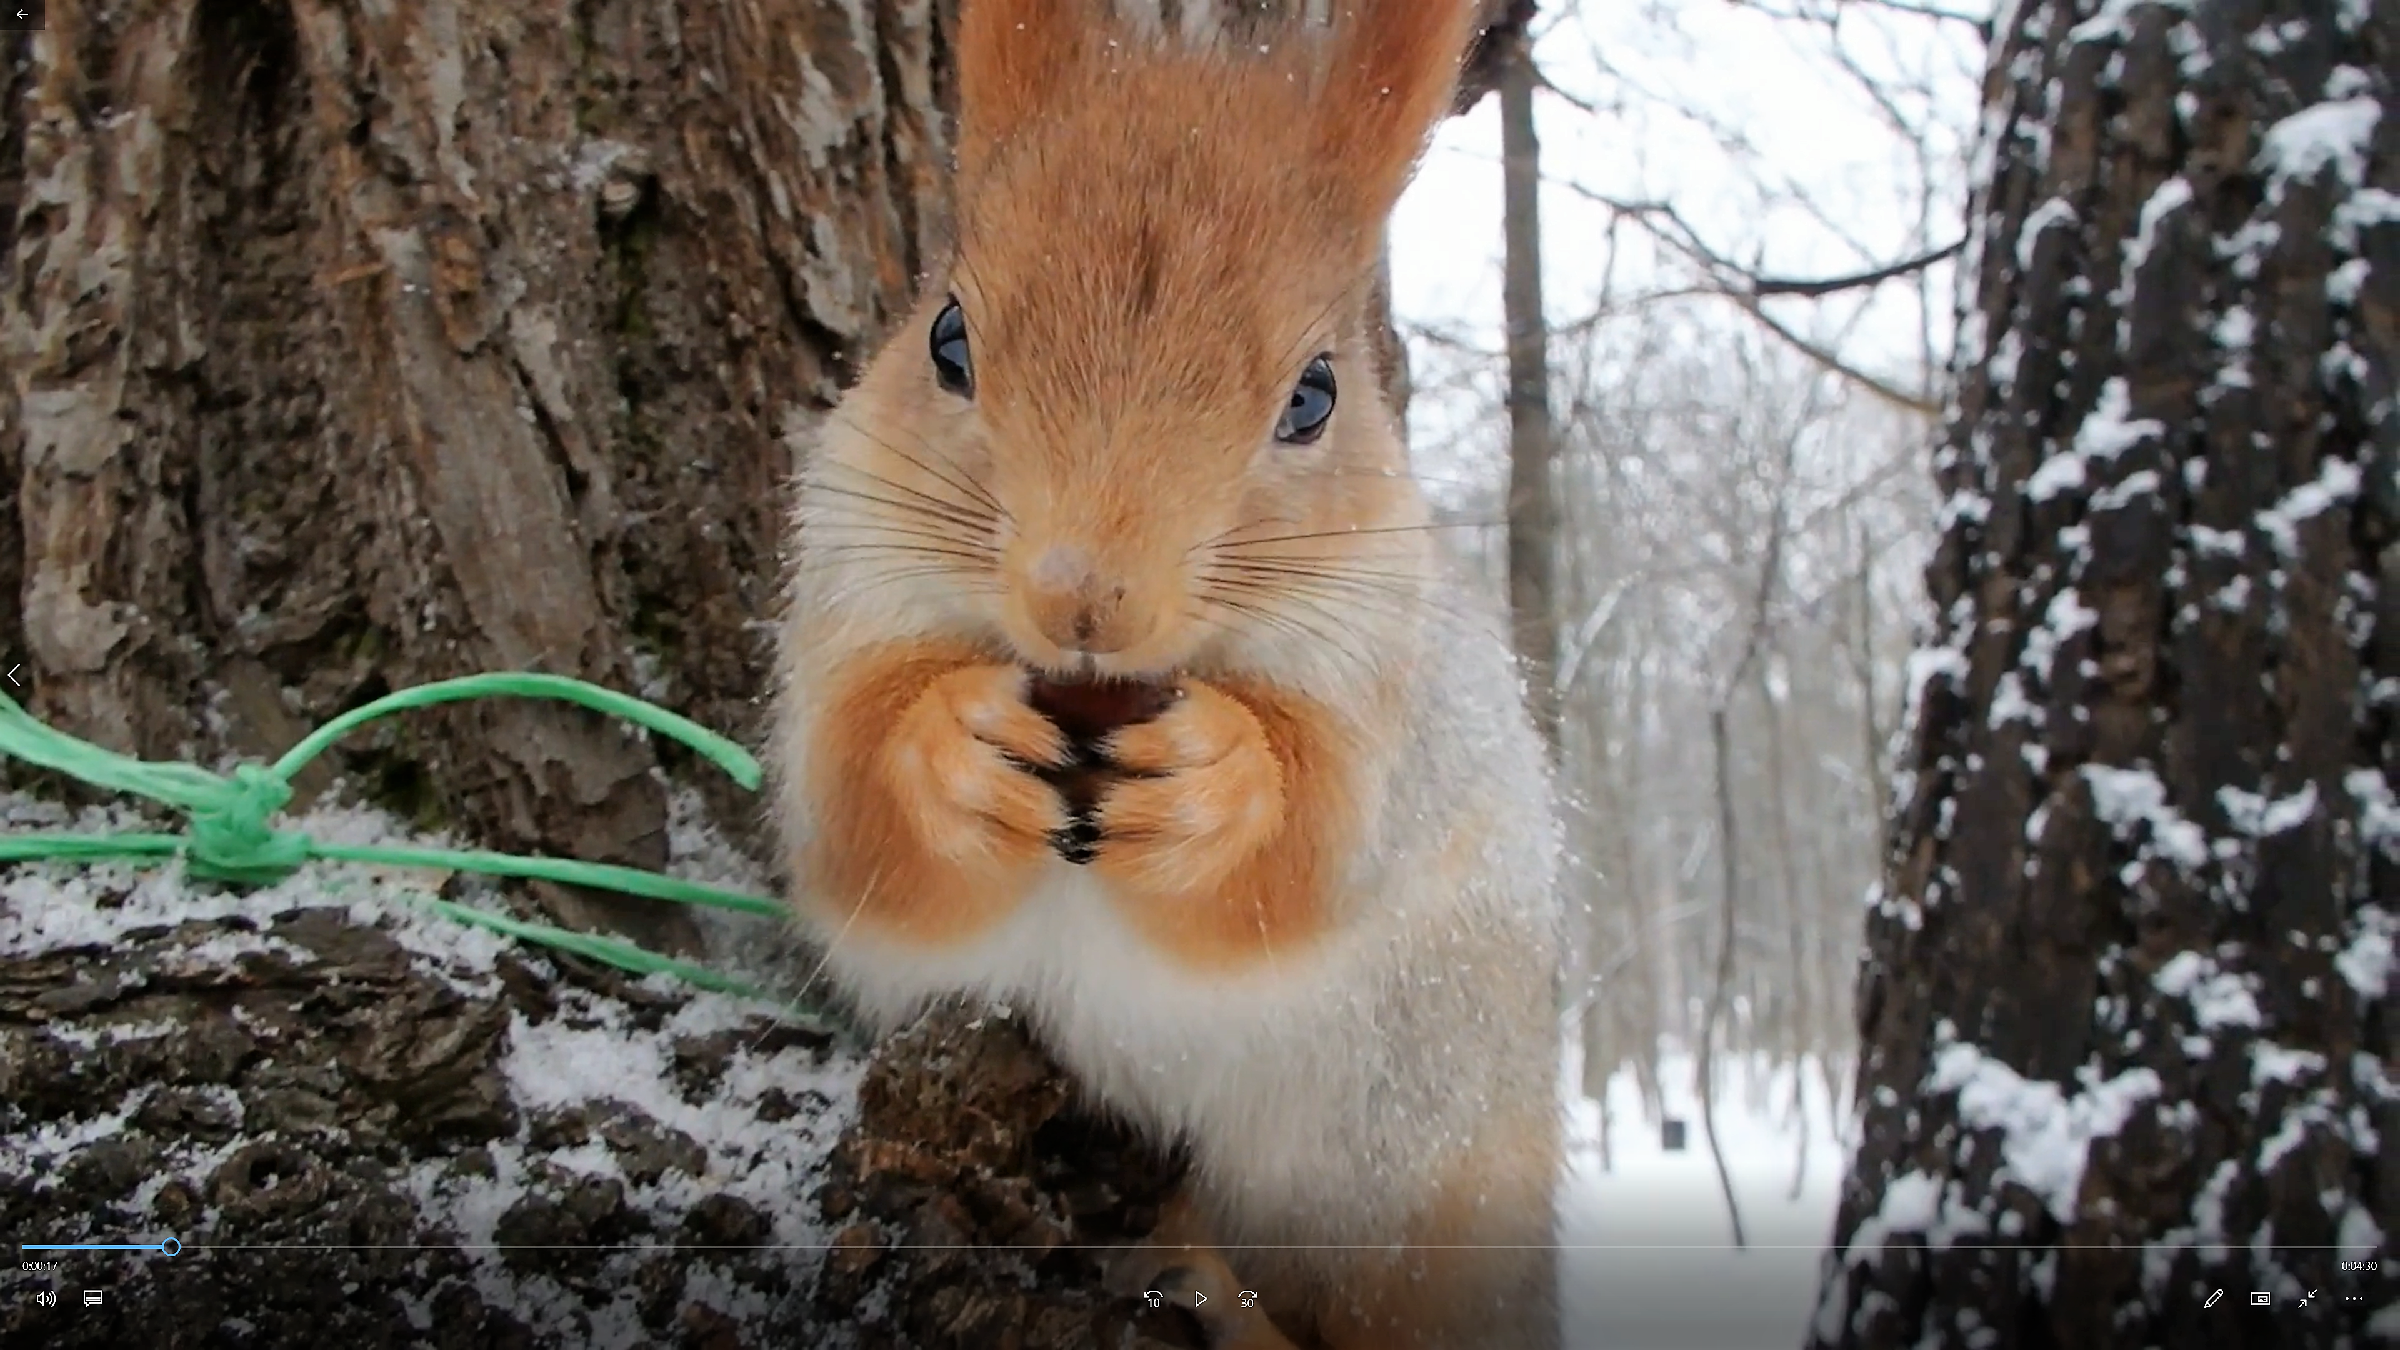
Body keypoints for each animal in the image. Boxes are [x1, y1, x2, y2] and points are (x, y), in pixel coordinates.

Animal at [758, 5, 1564, 1335]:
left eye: (1315, 395)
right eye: (947, 337)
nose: (1085, 596)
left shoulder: (1391, 704)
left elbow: (1308, 844)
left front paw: (1210, 783)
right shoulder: (844, 608)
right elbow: (858, 807)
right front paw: (954, 752)